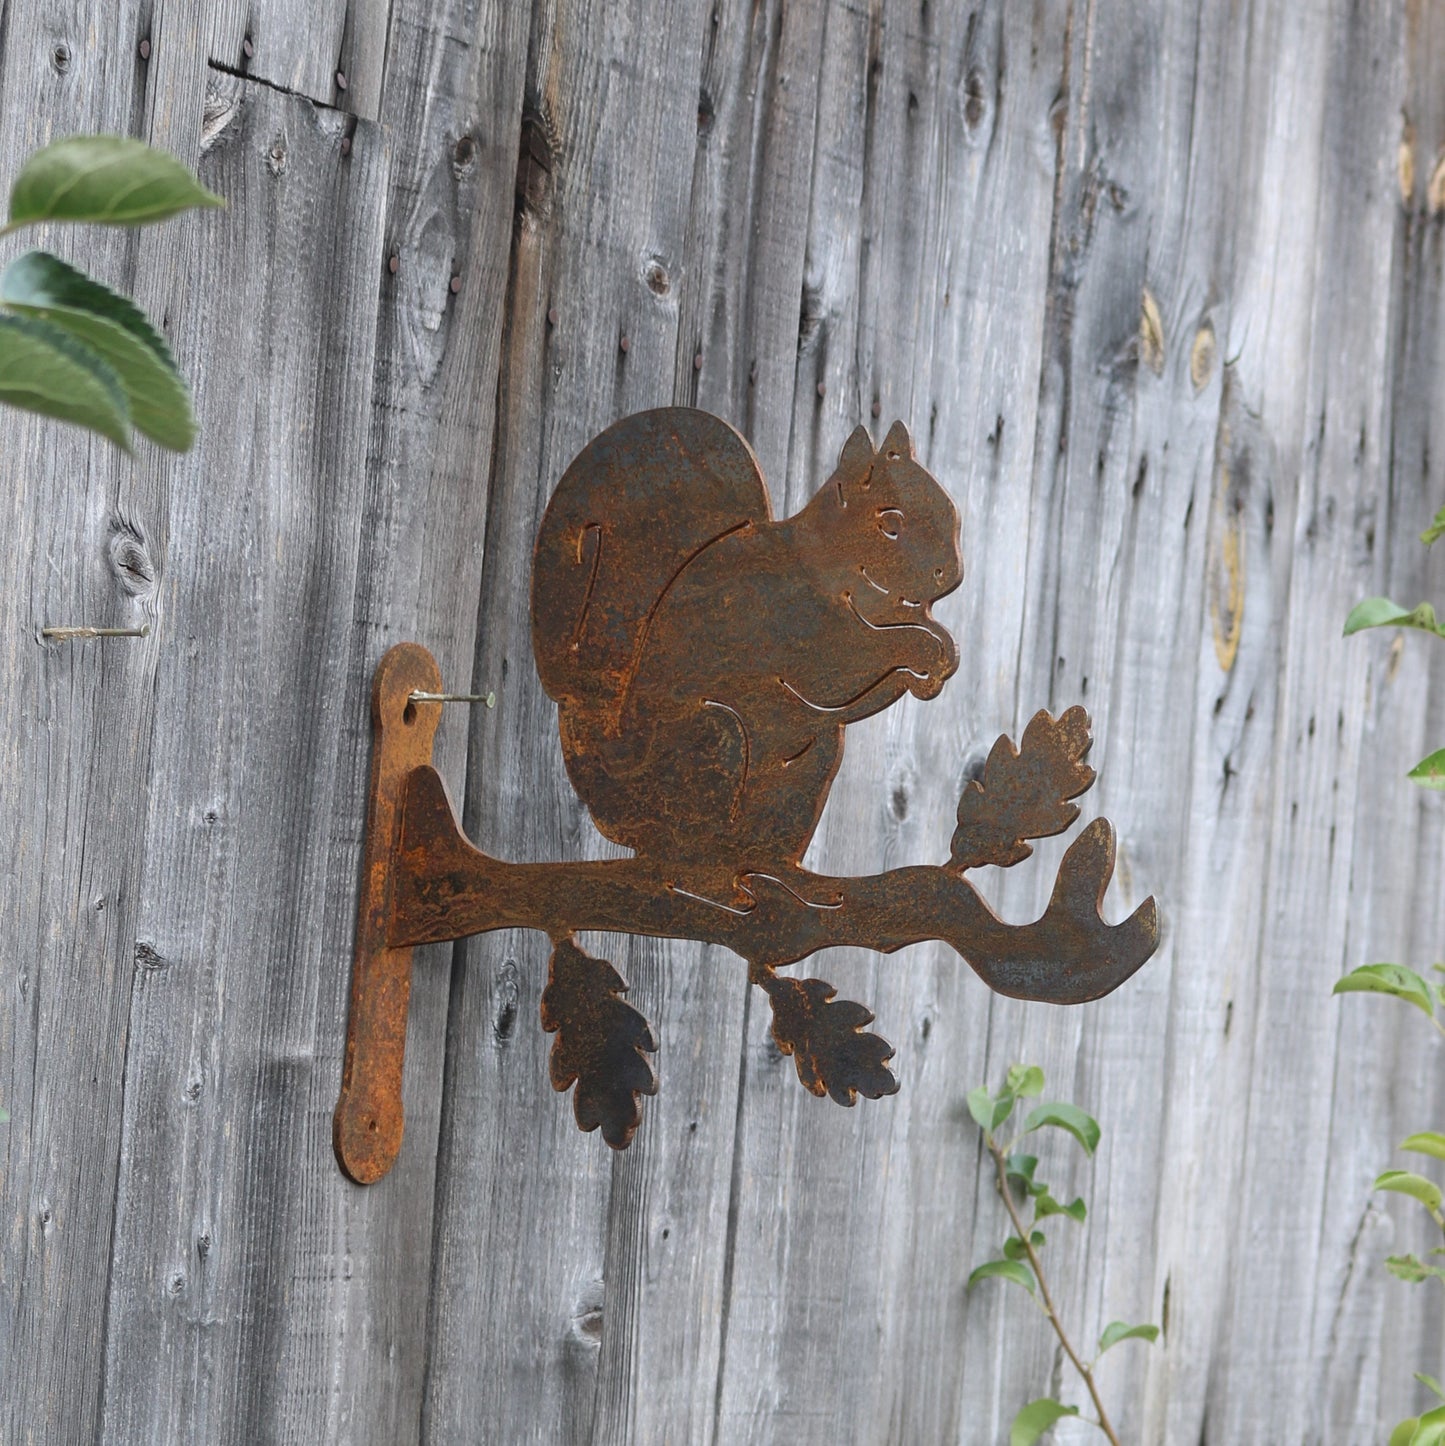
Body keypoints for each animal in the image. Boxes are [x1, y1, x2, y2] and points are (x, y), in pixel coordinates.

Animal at [531, 407, 962, 880]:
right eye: (890, 523)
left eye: (950, 514)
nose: (950, 574)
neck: (828, 565)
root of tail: (614, 795)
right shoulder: (801, 626)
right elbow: (848, 660)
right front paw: (921, 649)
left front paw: (937, 655)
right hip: (717, 737)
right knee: (681, 847)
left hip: (809, 770)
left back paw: (783, 876)